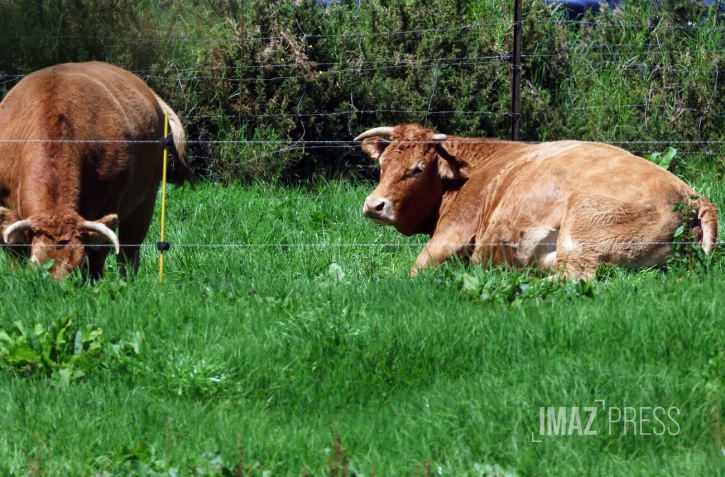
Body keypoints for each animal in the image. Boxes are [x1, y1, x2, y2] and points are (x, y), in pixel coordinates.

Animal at [0, 61, 194, 279]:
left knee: (128, 252)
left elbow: (100, 251)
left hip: (146, 200)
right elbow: (13, 252)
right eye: (35, 264)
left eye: (80, 264)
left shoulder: (110, 203)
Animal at [355, 123, 719, 279]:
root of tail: (693, 196)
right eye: (382, 165)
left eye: (416, 170)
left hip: (582, 236)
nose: (374, 205)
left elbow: (412, 272)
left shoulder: (451, 233)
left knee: (573, 279)